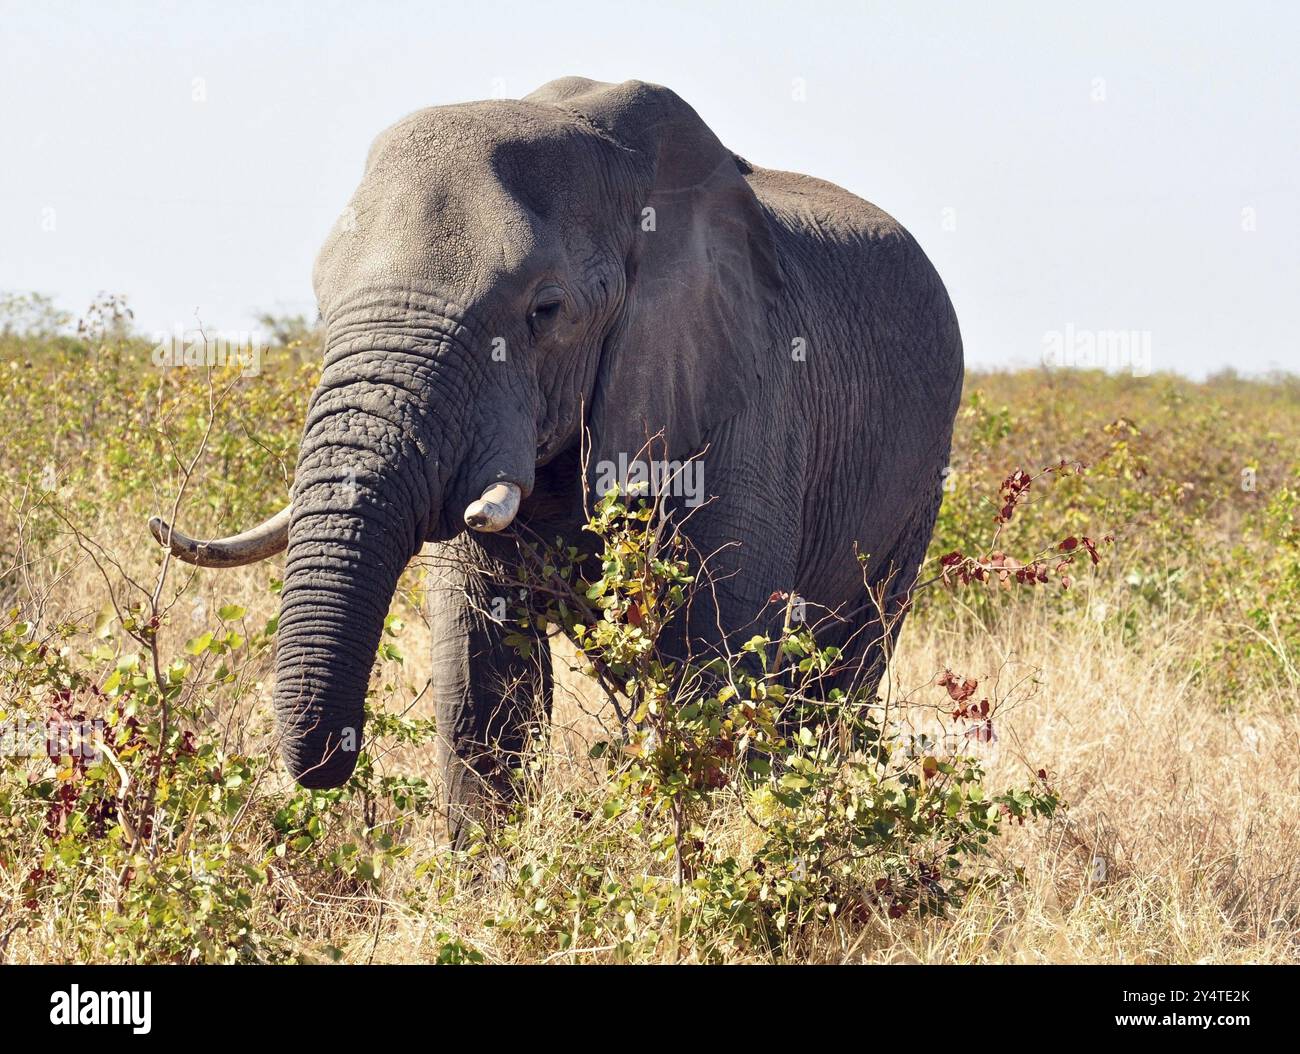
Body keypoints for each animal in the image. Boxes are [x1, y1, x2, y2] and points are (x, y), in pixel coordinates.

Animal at [152, 82, 967, 826]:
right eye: (321, 305)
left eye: (545, 313)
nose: (325, 767)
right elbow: (482, 676)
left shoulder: (746, 388)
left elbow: (713, 659)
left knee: (841, 676)